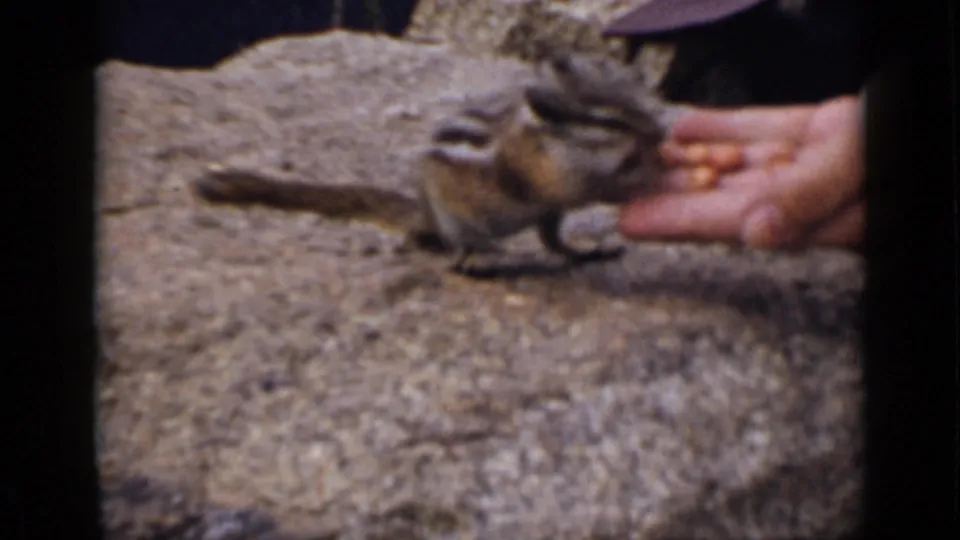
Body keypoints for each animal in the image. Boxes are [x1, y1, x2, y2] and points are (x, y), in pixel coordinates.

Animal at [191, 53, 692, 276]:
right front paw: (645, 174)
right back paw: (466, 253)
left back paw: (585, 251)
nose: (659, 134)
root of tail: (426, 214)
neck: (557, 141)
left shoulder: (554, 198)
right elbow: (589, 186)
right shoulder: (548, 177)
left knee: (554, 243)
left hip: (545, 219)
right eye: (611, 121)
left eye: (634, 102)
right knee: (456, 246)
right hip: (455, 215)